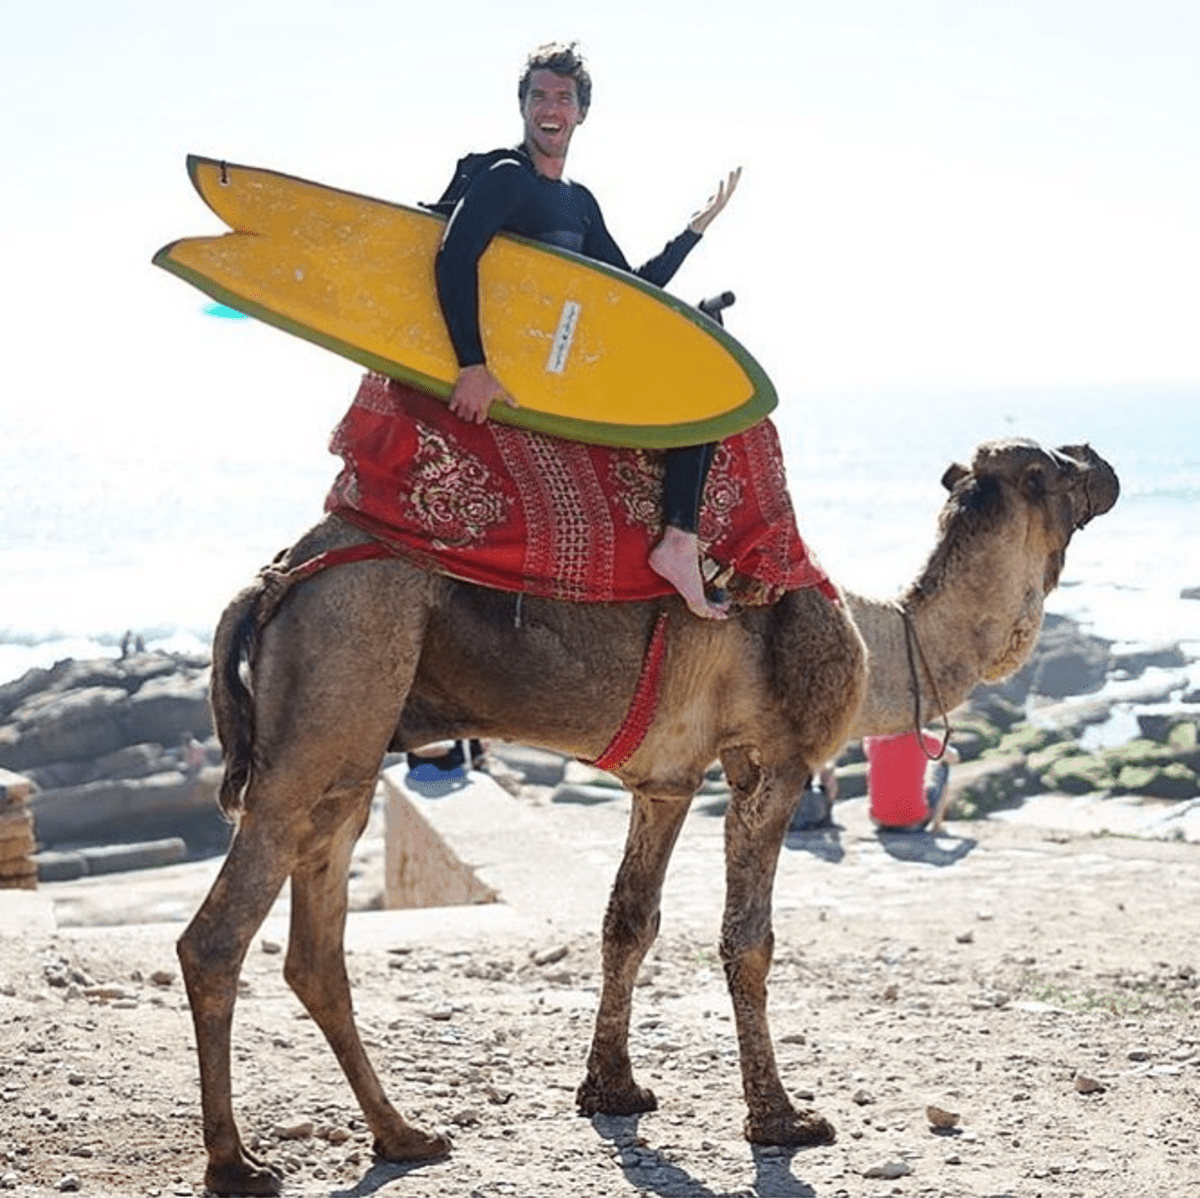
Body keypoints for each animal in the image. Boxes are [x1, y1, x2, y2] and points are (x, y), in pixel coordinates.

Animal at [175, 436, 1113, 1195]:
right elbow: (747, 939)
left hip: (351, 747)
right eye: (1046, 472)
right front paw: (783, 1120)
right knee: (216, 937)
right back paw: (237, 1163)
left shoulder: (666, 781)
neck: (884, 643)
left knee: (315, 948)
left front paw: (612, 1091)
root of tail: (272, 580)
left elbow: (628, 921)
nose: (1098, 460)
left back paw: (403, 1136)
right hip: (330, 692)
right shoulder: (774, 764)